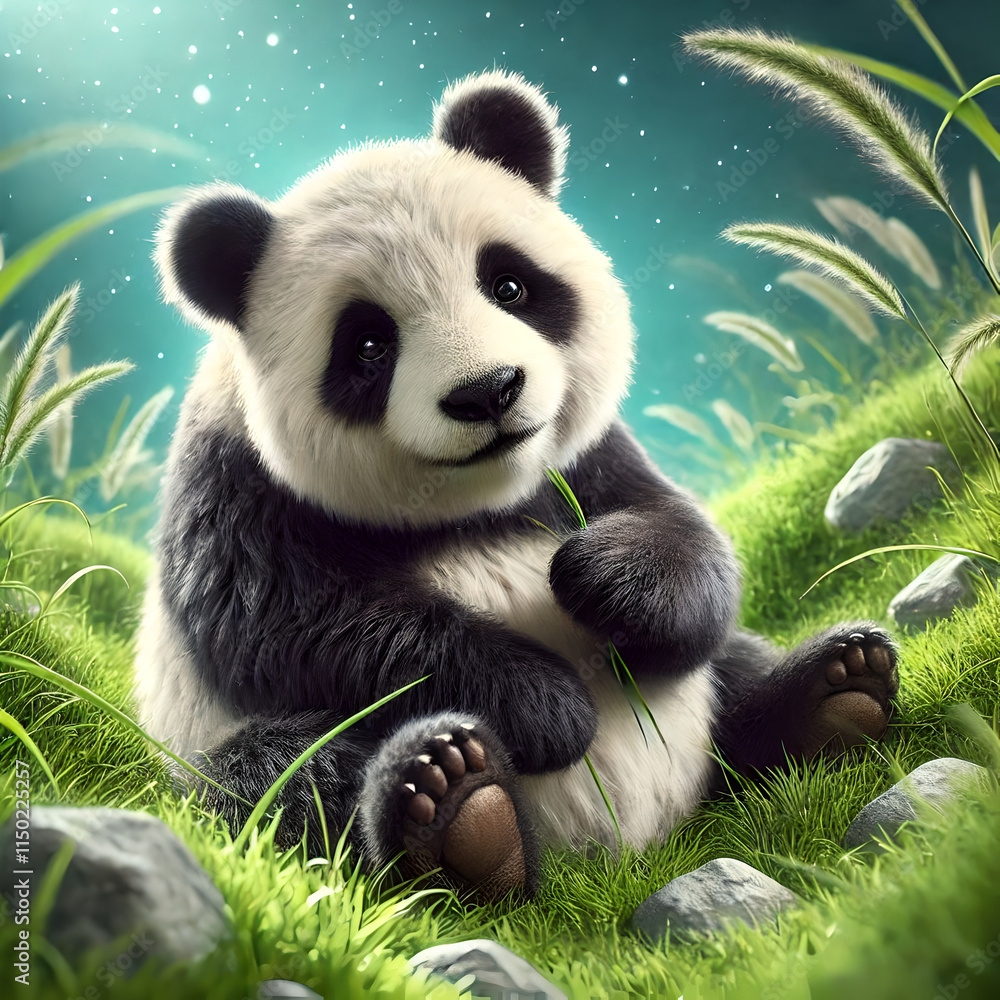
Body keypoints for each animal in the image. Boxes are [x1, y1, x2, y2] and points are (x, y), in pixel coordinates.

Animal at [135, 70, 899, 900]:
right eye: (367, 345)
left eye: (508, 284)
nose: (488, 391)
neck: (475, 502)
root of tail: (626, 850)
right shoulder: (234, 485)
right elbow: (294, 622)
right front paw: (548, 707)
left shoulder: (585, 461)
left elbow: (678, 530)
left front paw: (608, 582)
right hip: (213, 752)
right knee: (284, 781)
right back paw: (460, 815)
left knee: (733, 666)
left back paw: (834, 693)